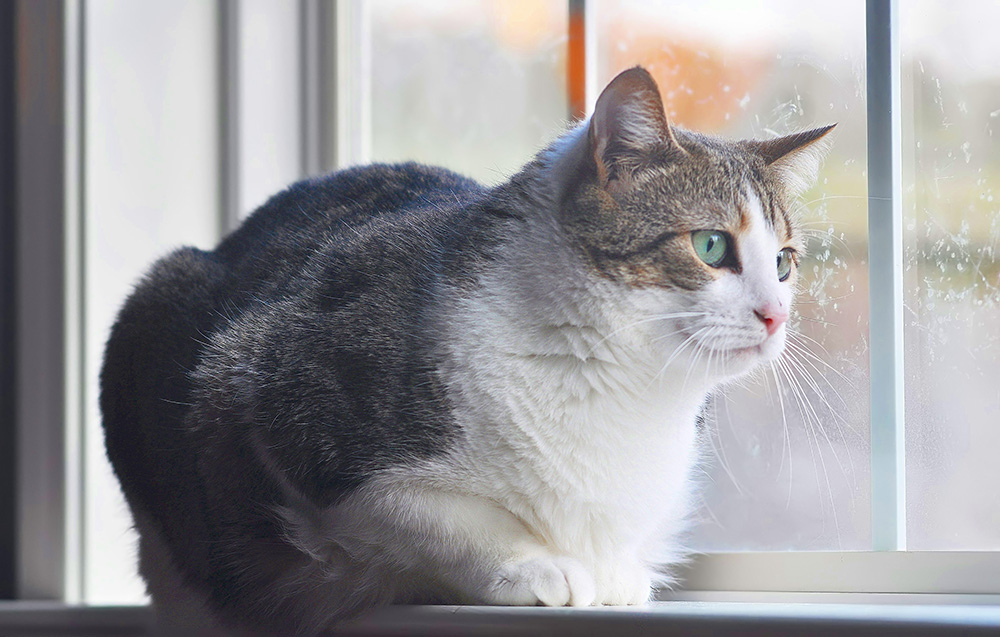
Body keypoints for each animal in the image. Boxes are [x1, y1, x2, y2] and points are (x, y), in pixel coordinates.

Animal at [97, 67, 832, 632]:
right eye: (711, 245)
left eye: (784, 262)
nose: (775, 317)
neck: (620, 387)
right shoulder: (270, 396)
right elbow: (424, 510)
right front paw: (534, 563)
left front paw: (615, 571)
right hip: (158, 309)